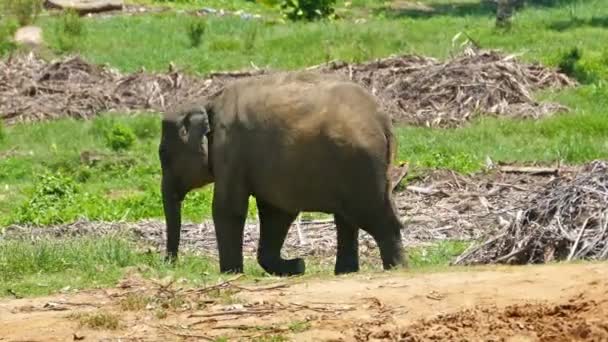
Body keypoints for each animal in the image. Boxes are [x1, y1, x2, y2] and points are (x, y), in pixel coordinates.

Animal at [158, 71, 408, 276]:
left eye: (163, 154)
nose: (170, 263)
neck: (208, 101)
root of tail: (383, 120)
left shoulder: (229, 150)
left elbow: (228, 209)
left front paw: (231, 273)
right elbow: (276, 213)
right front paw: (296, 266)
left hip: (361, 165)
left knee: (376, 216)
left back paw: (396, 268)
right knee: (347, 219)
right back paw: (346, 273)